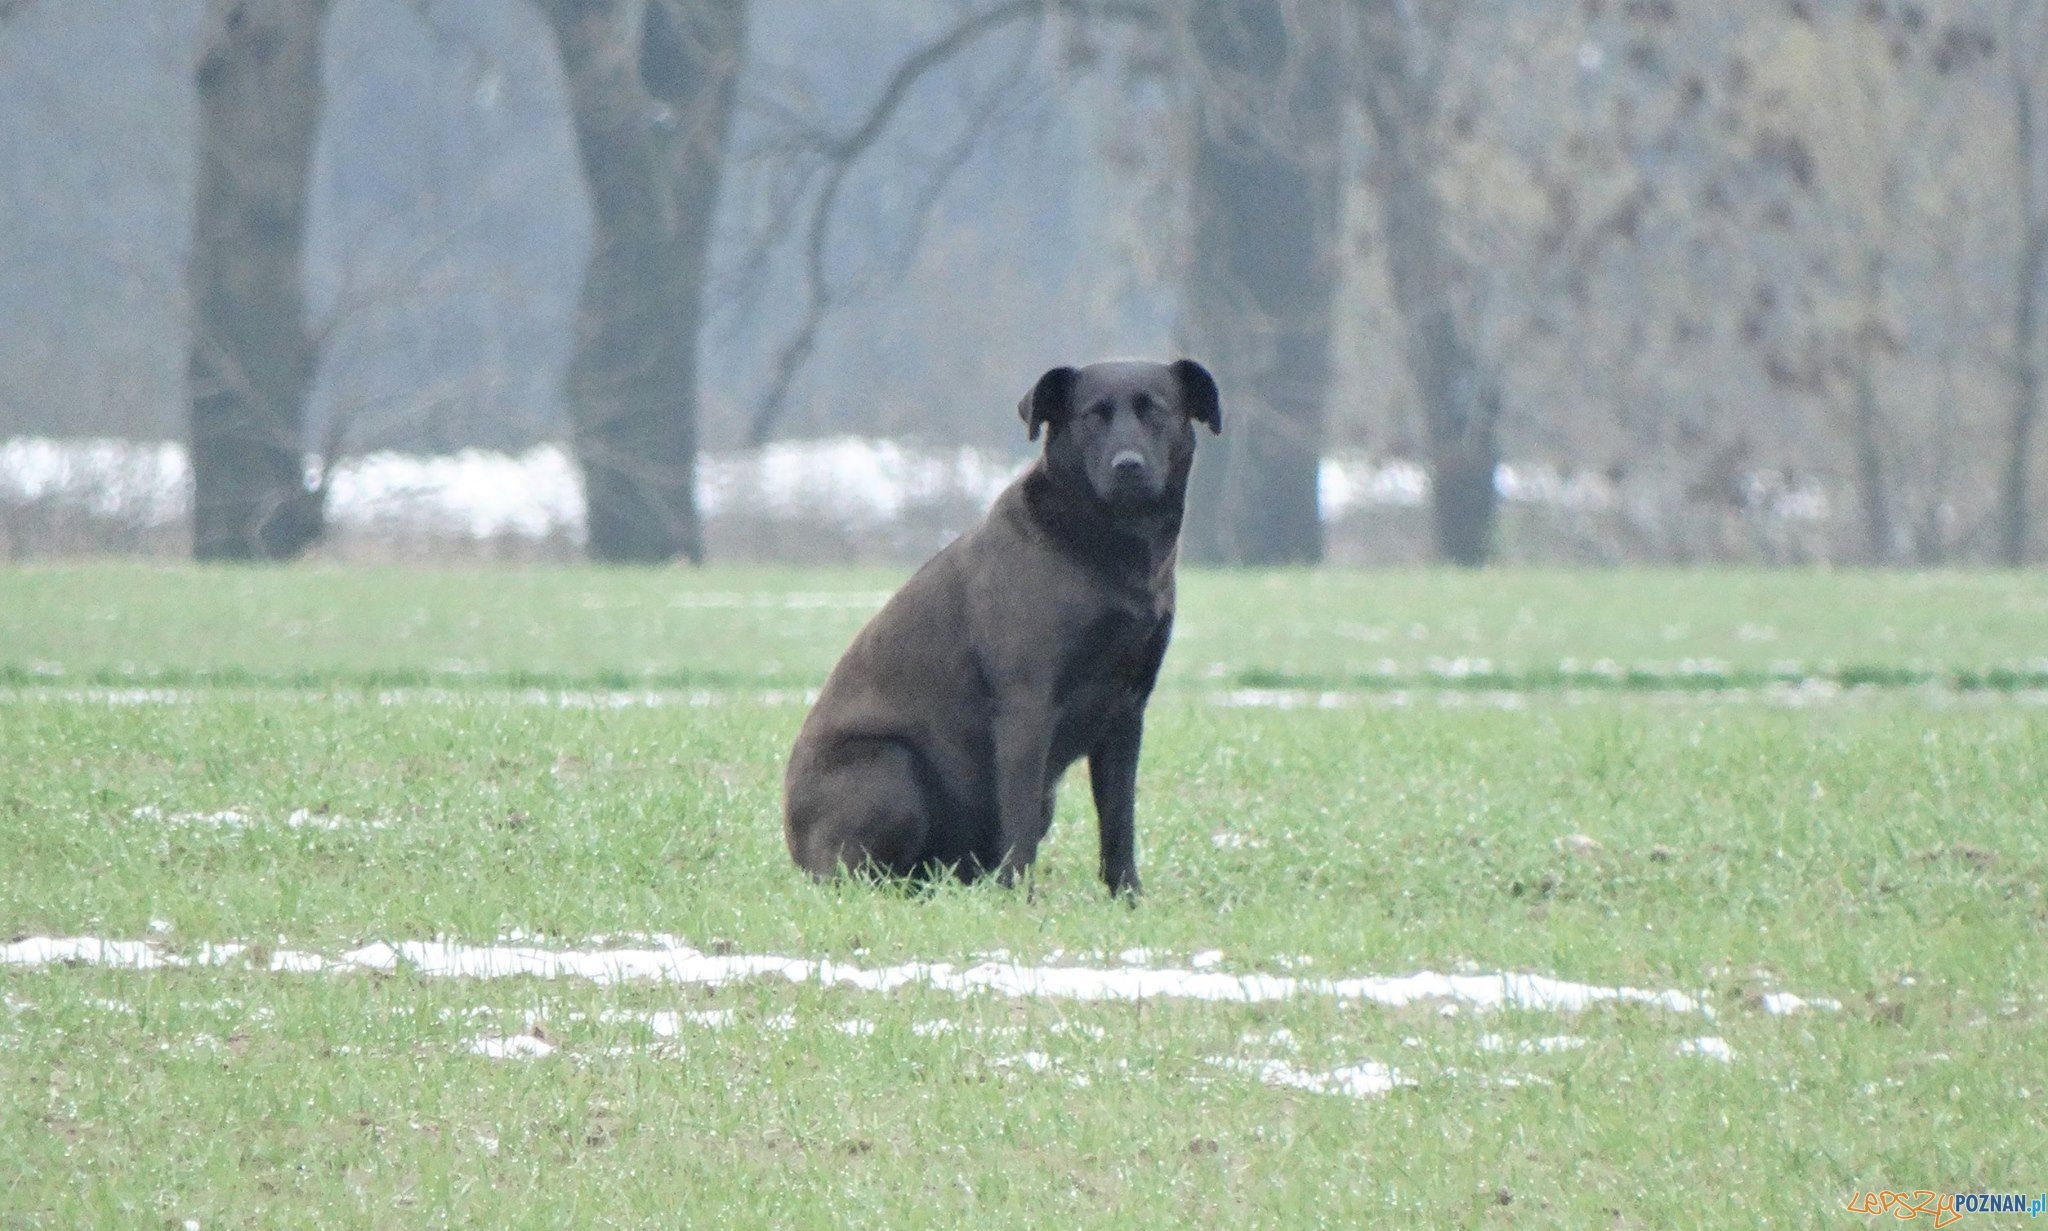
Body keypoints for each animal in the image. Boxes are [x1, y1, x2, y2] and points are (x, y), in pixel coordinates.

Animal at [786, 354, 1220, 893]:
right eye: (1092, 415)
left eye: (1154, 411)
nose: (1128, 466)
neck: (1108, 550)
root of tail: (797, 847)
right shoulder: (1026, 706)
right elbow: (1018, 818)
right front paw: (1019, 896)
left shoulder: (1127, 710)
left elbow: (1119, 821)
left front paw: (1128, 897)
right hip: (892, 769)